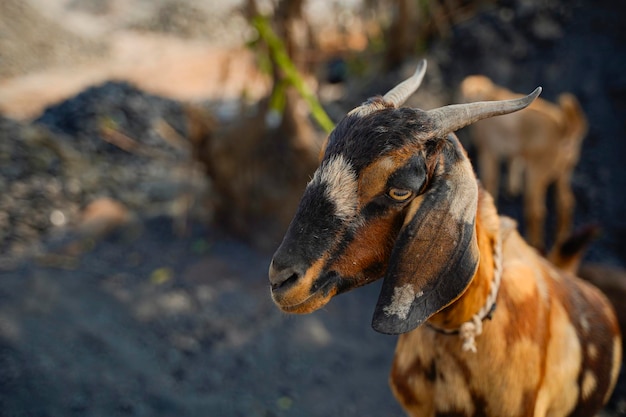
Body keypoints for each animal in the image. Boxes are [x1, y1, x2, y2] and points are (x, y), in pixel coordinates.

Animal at [458, 74, 584, 250]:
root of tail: (564, 130)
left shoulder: (489, 153)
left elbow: (490, 180)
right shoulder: (514, 151)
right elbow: (514, 163)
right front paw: (512, 188)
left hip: (536, 175)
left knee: (536, 211)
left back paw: (535, 244)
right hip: (564, 173)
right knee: (565, 202)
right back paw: (561, 239)